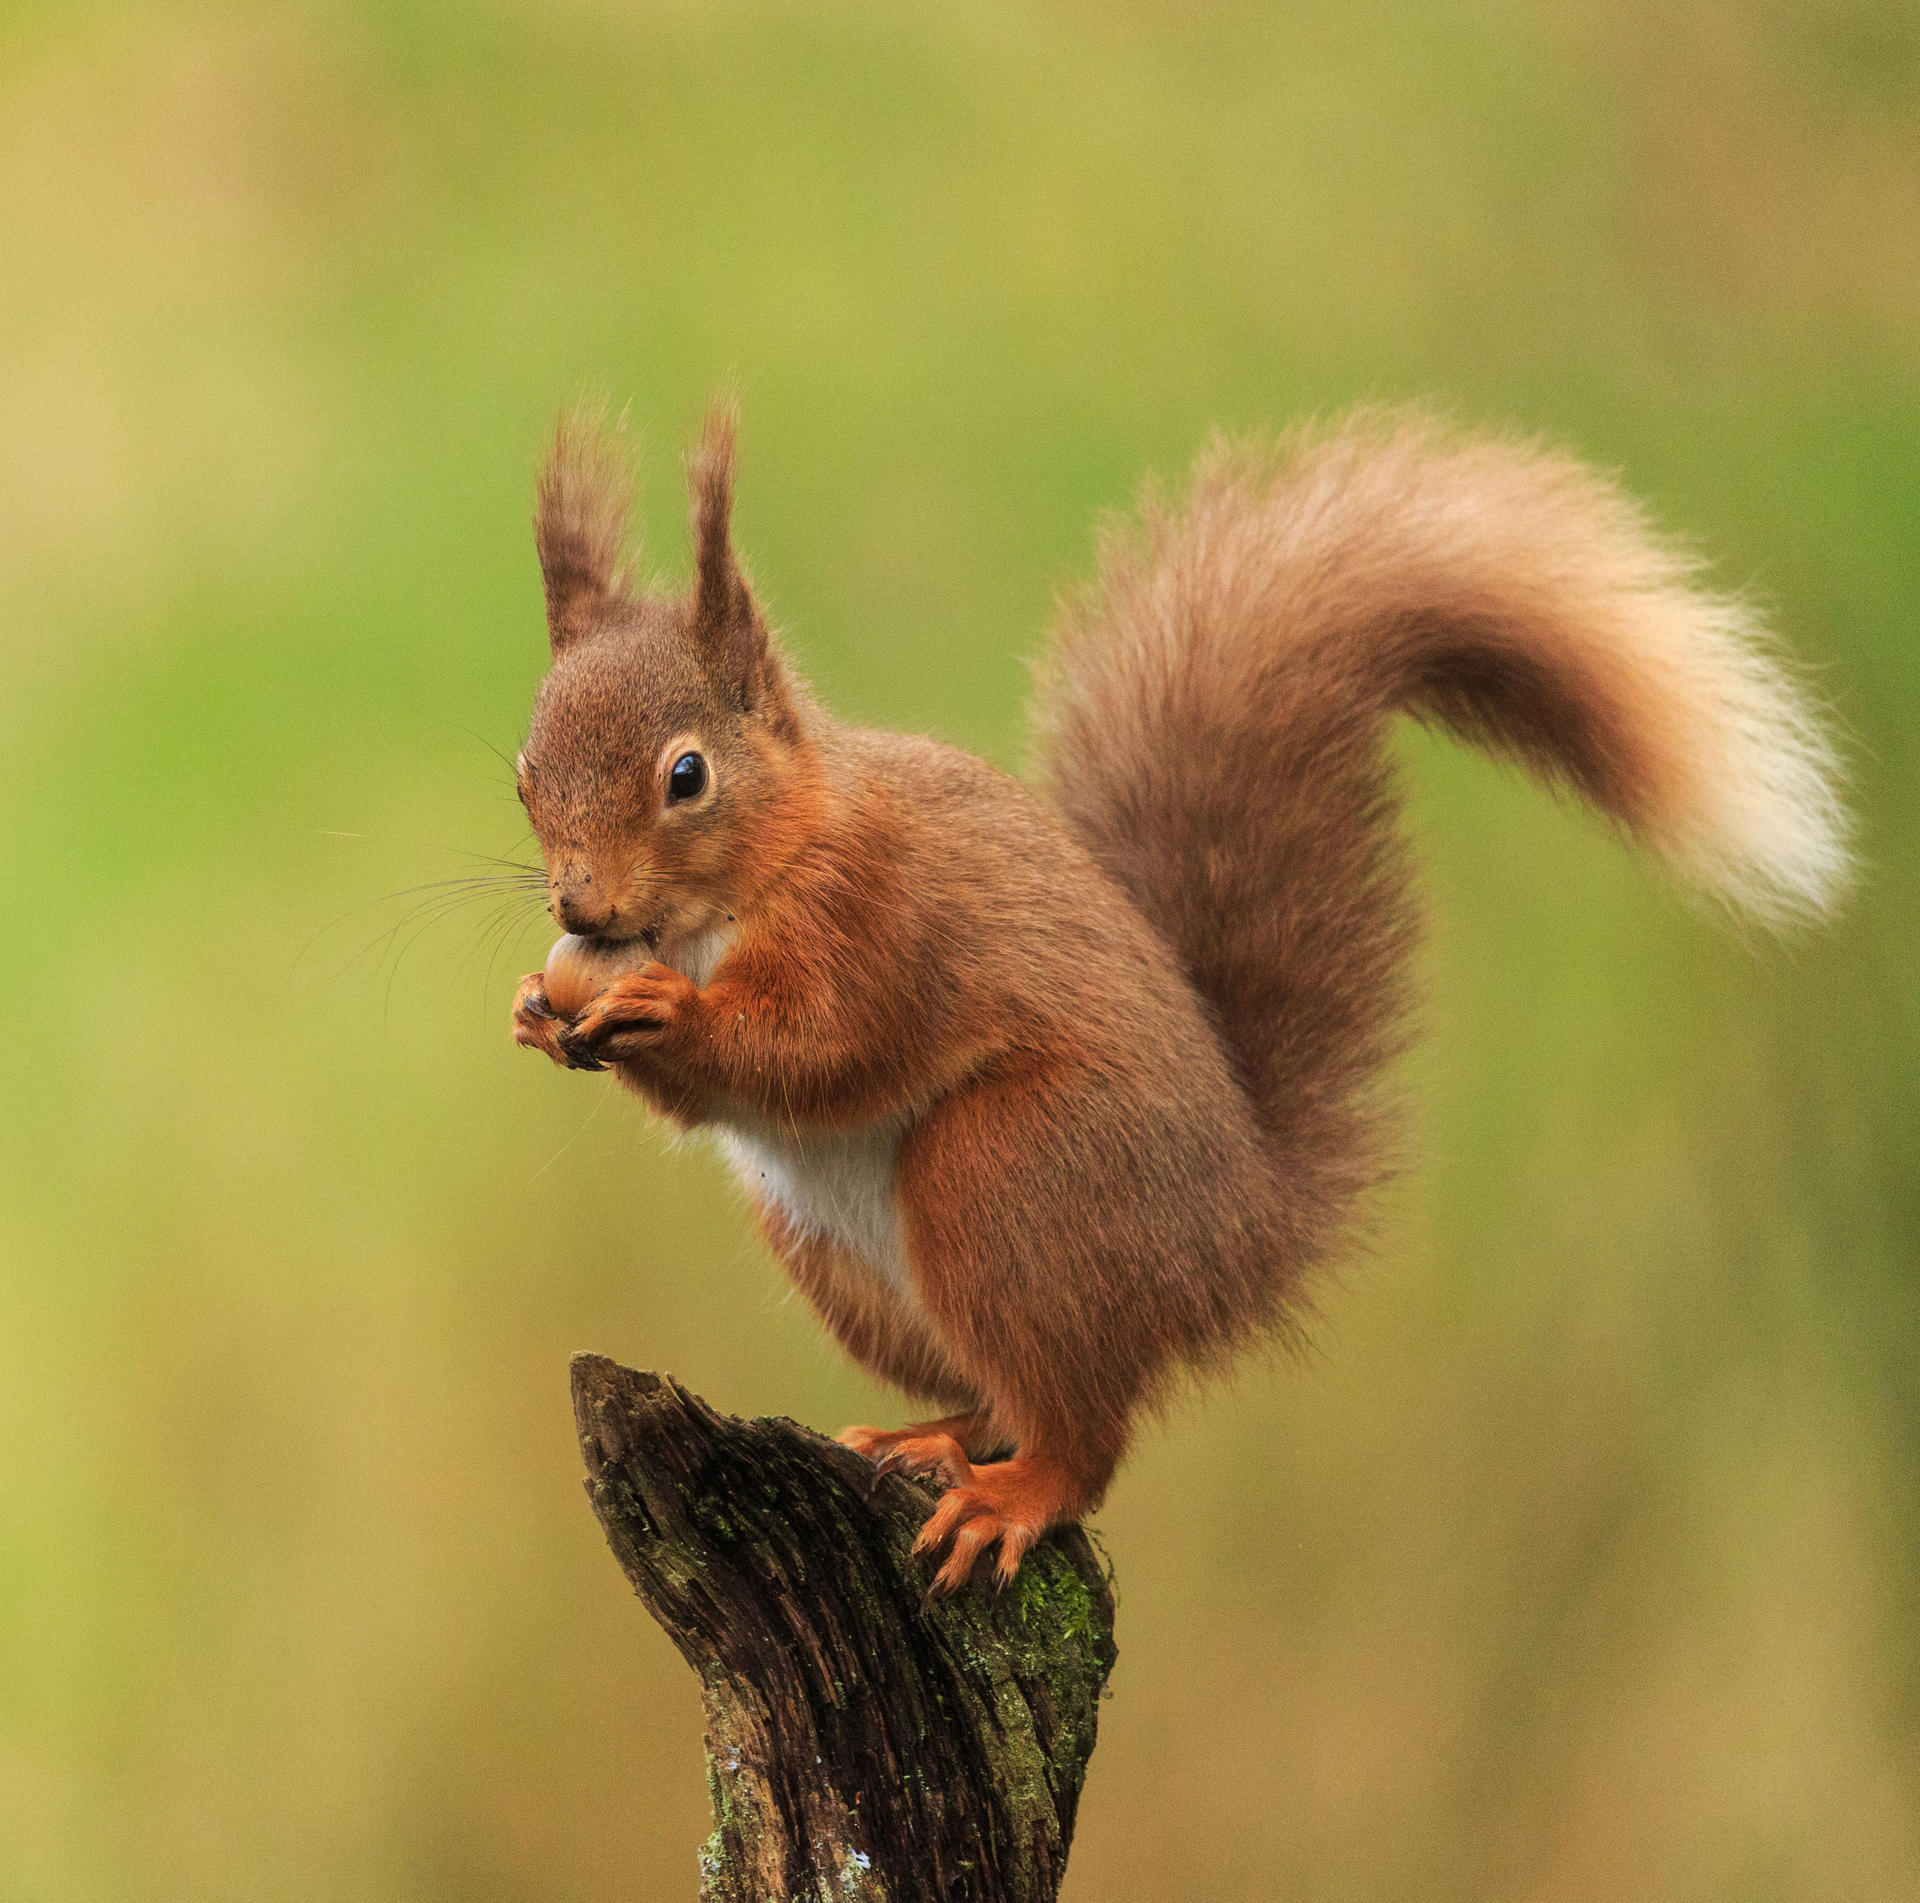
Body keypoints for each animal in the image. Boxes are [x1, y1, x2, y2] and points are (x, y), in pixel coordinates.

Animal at [509, 404, 1849, 1594]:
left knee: (1086, 1436)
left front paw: (665, 1015)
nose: (581, 908)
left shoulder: (881, 920)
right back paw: (933, 1436)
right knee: (1015, 1395)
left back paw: (1013, 1498)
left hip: (1008, 1177)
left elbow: (821, 1046)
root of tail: (1238, 1240)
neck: (744, 884)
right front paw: (535, 1008)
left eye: (687, 775)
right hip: (843, 1253)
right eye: (524, 773)